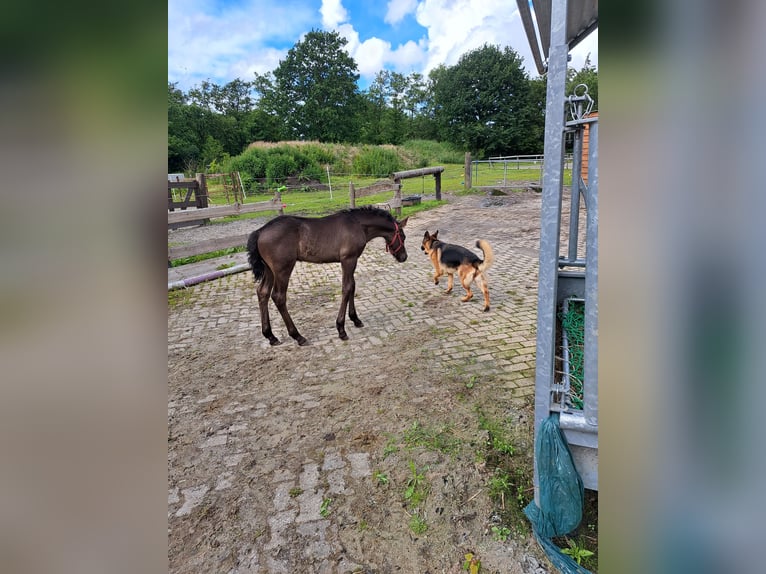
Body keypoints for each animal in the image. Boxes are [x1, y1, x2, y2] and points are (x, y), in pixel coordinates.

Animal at [250, 209, 412, 348]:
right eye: (403, 237)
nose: (403, 257)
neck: (357, 224)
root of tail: (260, 231)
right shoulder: (348, 259)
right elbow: (347, 288)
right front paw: (341, 329)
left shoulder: (352, 260)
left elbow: (352, 286)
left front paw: (355, 319)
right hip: (283, 269)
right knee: (278, 297)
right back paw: (298, 336)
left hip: (269, 270)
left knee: (262, 292)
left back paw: (271, 336)